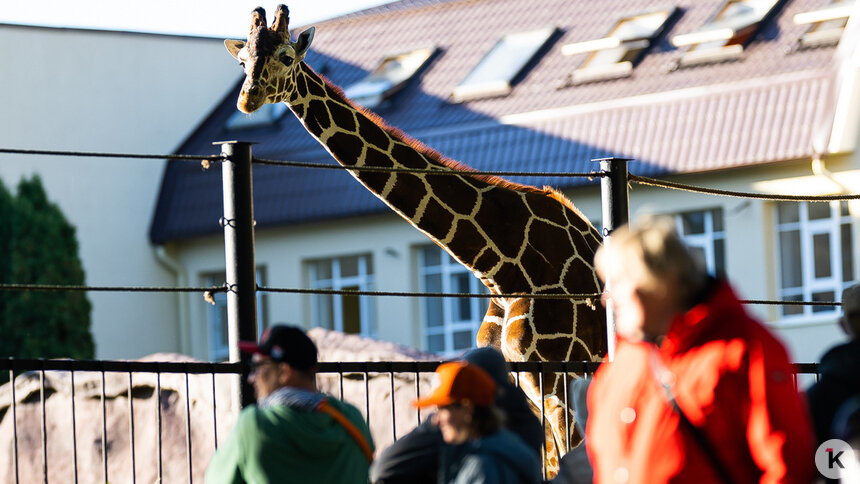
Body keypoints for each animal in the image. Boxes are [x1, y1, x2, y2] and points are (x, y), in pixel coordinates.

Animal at [225, 5, 607, 473]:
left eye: (285, 55)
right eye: (242, 61)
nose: (247, 99)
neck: (500, 263)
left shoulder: (556, 373)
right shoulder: (523, 379)